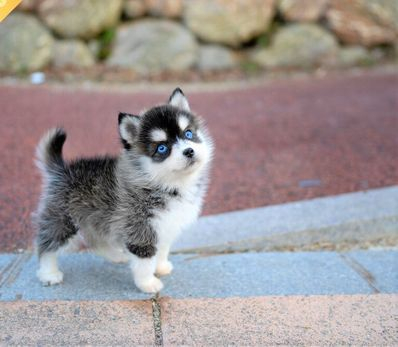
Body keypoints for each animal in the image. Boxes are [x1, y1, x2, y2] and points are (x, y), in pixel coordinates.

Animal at [32, 89, 213, 294]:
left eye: (188, 133)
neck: (168, 185)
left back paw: (116, 256)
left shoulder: (165, 226)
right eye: (162, 148)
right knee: (46, 244)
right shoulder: (140, 228)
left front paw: (160, 267)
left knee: (96, 241)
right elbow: (145, 259)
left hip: (97, 219)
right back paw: (49, 273)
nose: (189, 151)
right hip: (63, 220)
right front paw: (148, 283)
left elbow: (162, 249)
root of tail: (61, 170)